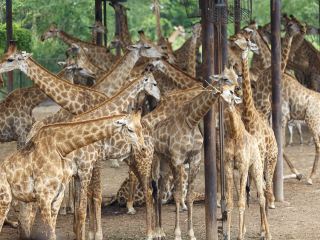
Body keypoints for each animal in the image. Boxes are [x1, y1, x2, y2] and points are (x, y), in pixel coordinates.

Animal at [0, 112, 144, 240]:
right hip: (5, 199)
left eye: (141, 127)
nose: (142, 148)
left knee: (23, 218)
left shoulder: (58, 196)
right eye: (130, 129)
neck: (60, 146)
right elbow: (82, 210)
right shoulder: (45, 196)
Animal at [224, 102, 272, 240]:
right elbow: (231, 202)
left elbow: (241, 202)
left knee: (262, 196)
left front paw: (240, 235)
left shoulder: (243, 167)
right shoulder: (229, 167)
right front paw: (229, 234)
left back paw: (267, 234)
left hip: (257, 168)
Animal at [229, 31, 278, 208]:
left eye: (246, 41)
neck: (249, 117)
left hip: (271, 157)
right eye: (238, 37)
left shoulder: (260, 152)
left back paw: (271, 200)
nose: (231, 38)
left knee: (268, 177)